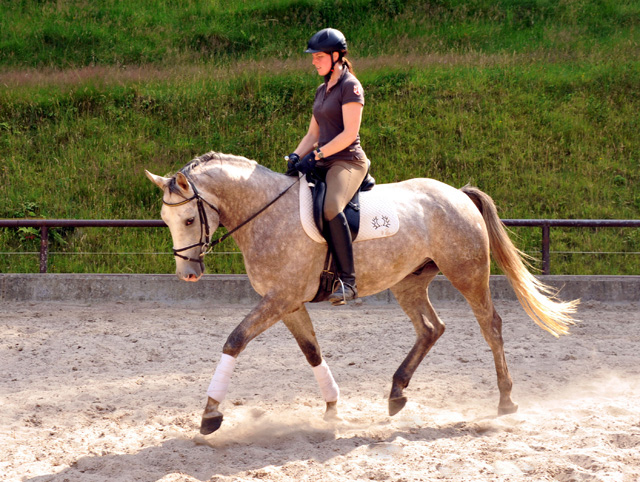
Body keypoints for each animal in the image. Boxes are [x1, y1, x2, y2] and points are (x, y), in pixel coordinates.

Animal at [146, 152, 580, 436]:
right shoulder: (287, 303)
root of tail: (457, 193)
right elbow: (312, 351)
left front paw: (210, 414)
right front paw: (332, 407)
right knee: (431, 328)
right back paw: (397, 393)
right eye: (165, 219)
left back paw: (506, 401)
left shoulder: (280, 298)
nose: (187, 274)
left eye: (189, 219)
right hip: (408, 281)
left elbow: (234, 340)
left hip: (467, 273)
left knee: (491, 325)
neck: (266, 213)